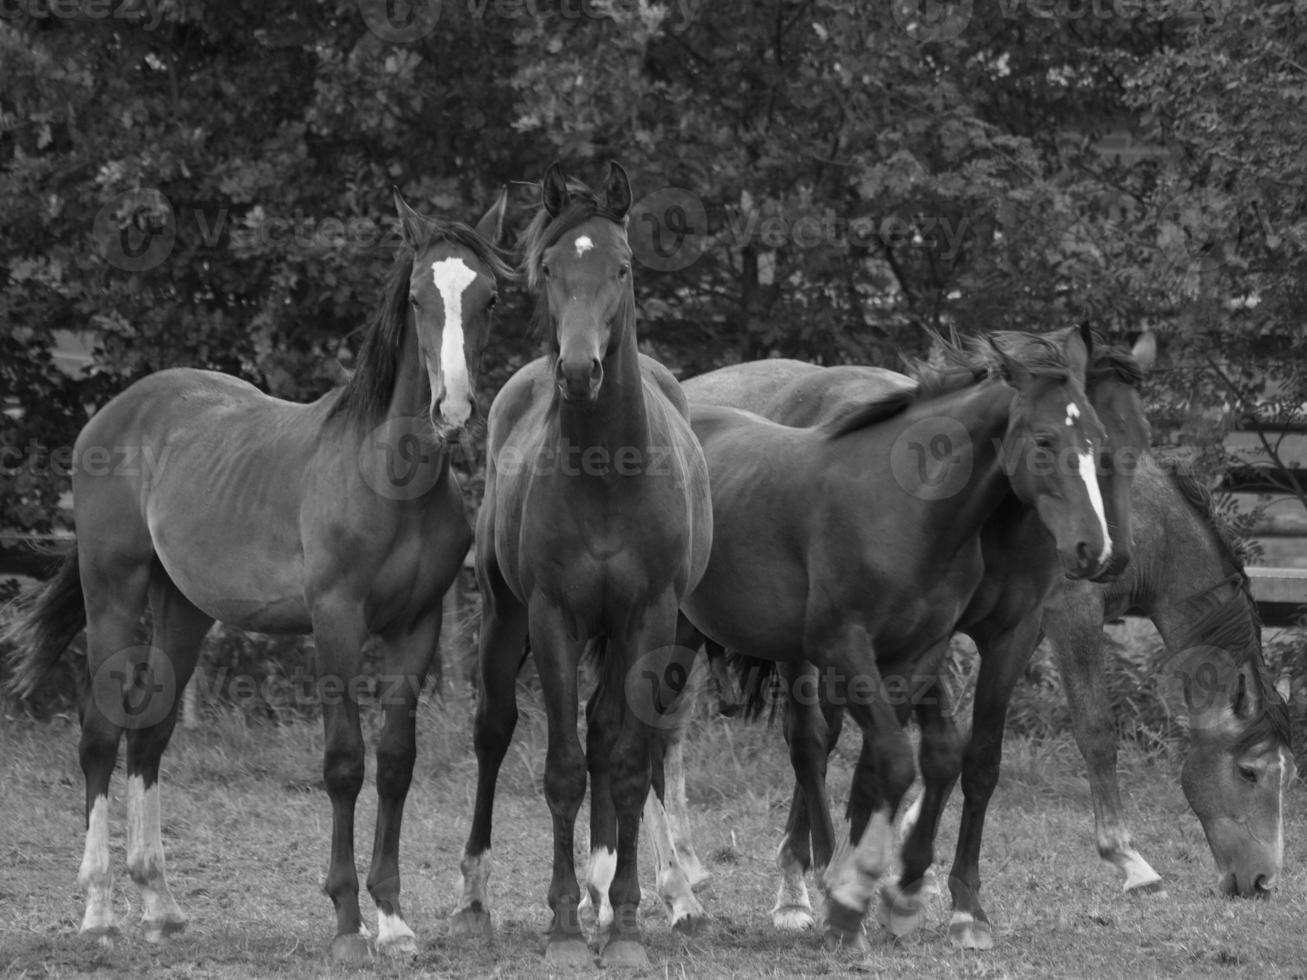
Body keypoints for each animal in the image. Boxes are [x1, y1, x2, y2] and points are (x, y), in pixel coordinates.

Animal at [0, 188, 509, 961]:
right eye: (418, 296)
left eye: (488, 298)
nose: (450, 408)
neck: (388, 477)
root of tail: (112, 415)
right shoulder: (336, 622)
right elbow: (344, 762)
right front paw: (347, 921)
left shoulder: (415, 627)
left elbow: (396, 761)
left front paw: (393, 920)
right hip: (112, 592)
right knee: (99, 732)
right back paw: (100, 912)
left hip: (183, 609)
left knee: (150, 733)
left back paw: (160, 904)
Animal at [449, 165, 716, 972]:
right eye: (548, 269)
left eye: (622, 267)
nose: (577, 369)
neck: (606, 471)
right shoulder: (553, 618)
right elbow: (563, 767)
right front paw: (565, 927)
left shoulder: (648, 619)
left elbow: (623, 764)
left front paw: (624, 925)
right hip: (504, 621)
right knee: (493, 731)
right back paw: (475, 900)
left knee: (606, 734)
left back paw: (607, 895)